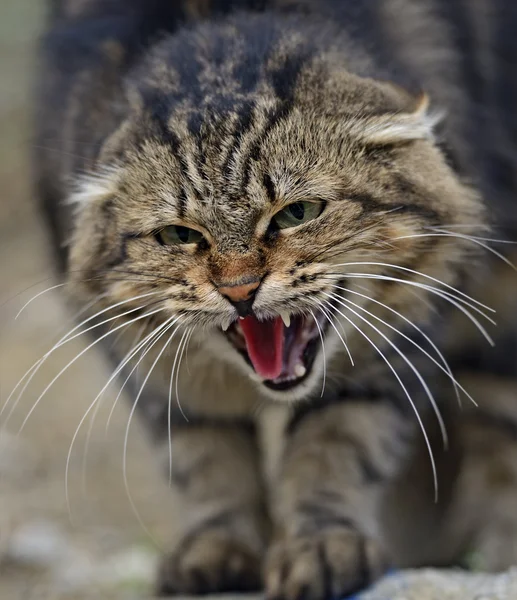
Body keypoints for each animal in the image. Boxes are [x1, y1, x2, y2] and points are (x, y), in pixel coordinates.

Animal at [32, 0, 516, 596]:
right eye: (180, 235)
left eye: (297, 213)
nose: (239, 290)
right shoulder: (147, 365)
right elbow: (207, 459)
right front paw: (217, 550)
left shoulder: (402, 333)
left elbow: (336, 441)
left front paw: (323, 545)